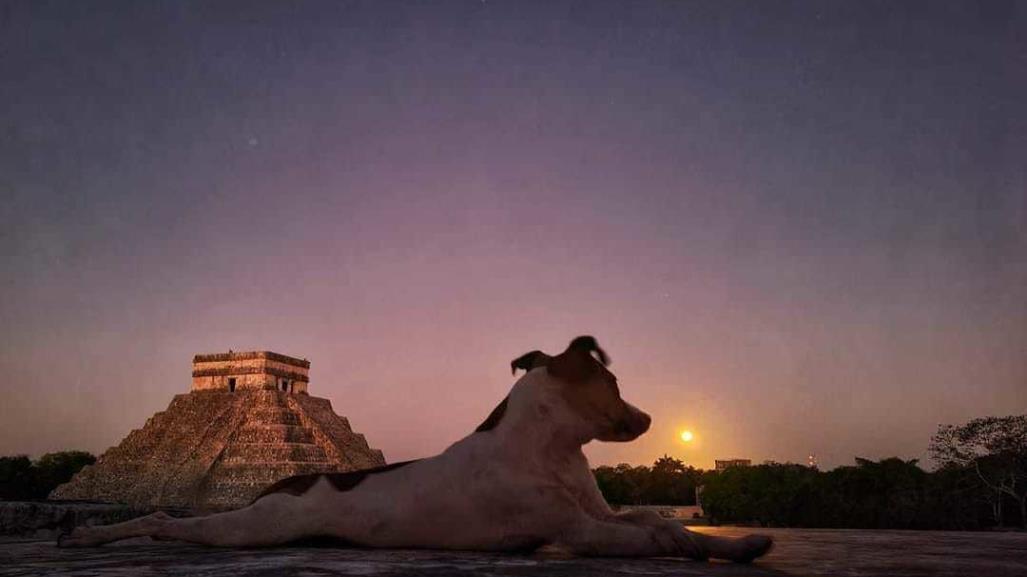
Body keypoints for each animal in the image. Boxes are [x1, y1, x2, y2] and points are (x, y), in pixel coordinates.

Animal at [58, 336, 772, 562]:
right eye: (615, 383)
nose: (649, 417)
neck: (554, 448)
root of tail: (286, 481)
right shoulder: (575, 530)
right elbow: (653, 533)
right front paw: (691, 545)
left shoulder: (597, 514)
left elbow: (659, 519)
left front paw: (739, 543)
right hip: (250, 528)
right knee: (163, 520)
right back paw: (89, 536)